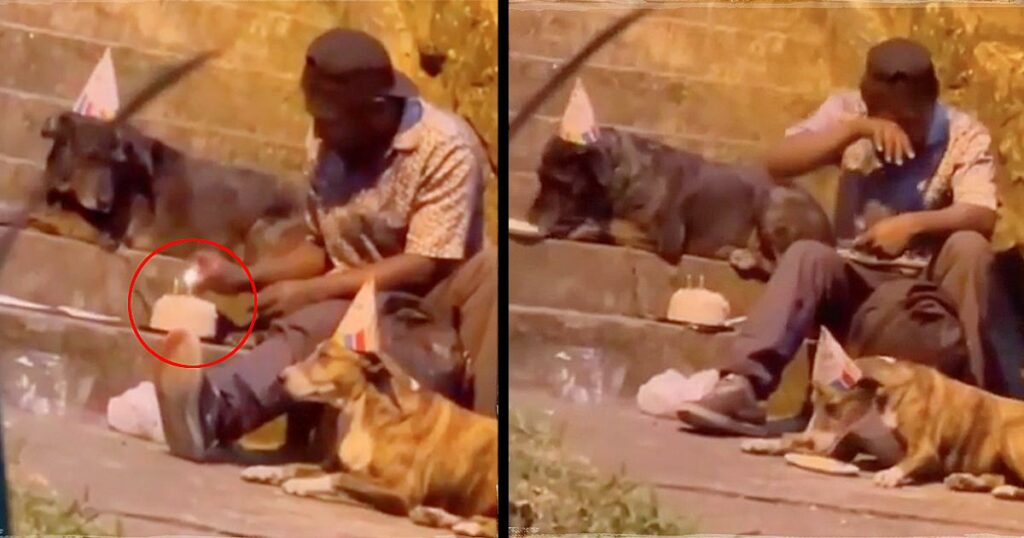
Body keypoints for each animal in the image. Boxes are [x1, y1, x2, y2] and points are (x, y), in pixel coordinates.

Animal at [239, 334, 495, 532]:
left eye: (325, 357)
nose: (280, 377)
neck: (362, 409)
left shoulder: (400, 489)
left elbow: (340, 478)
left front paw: (302, 484)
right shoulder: (335, 465)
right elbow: (295, 466)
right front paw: (264, 471)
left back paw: (467, 525)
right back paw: (437, 516)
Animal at [741, 356, 1024, 500]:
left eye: (833, 407)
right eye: (814, 405)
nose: (811, 441)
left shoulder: (925, 448)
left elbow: (912, 458)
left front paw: (890, 474)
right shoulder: (839, 447)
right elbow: (792, 439)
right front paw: (764, 443)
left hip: (1010, 434)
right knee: (998, 477)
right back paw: (968, 481)